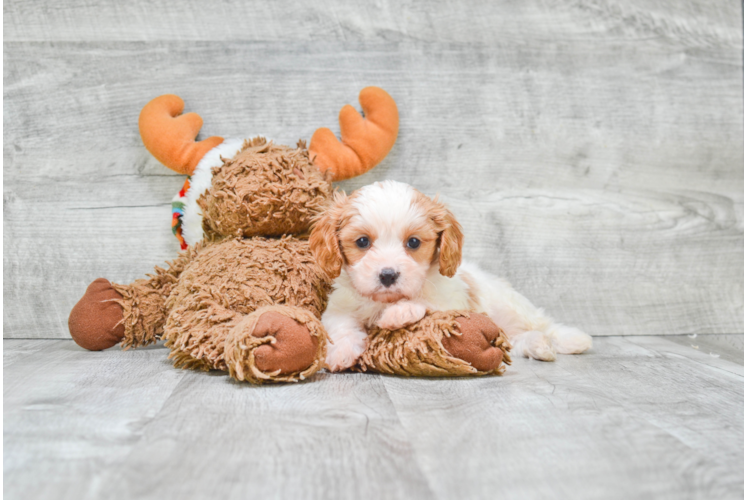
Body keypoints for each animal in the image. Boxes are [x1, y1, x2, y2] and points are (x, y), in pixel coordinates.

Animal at [306, 180, 592, 372]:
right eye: (363, 241)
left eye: (413, 242)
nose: (388, 275)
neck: (383, 301)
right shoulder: (339, 307)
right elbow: (342, 326)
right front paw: (341, 352)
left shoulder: (451, 299)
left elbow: (427, 302)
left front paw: (400, 312)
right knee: (516, 339)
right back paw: (538, 346)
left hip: (512, 305)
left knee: (542, 323)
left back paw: (570, 340)